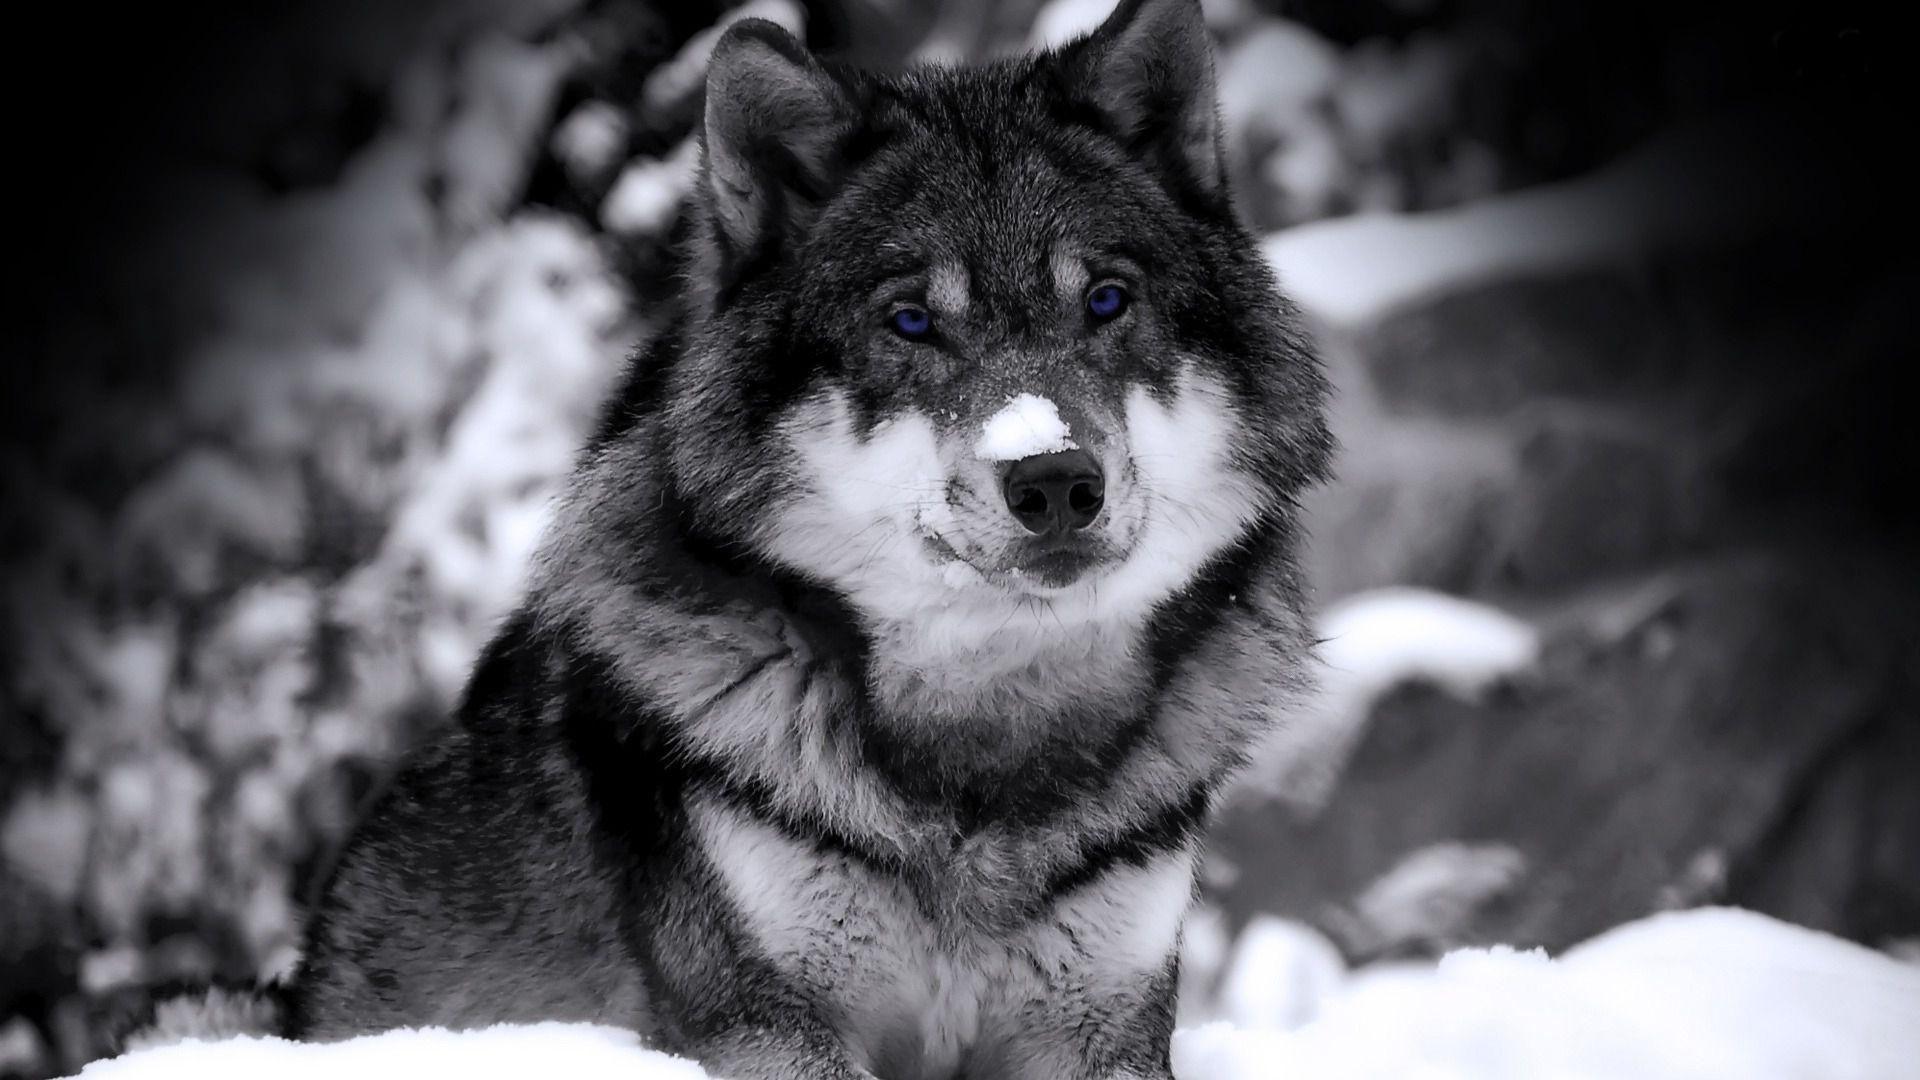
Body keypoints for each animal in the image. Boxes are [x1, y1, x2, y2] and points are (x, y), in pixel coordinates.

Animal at [161, 0, 1333, 1076]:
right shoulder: (769, 1024)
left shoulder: (1106, 1028)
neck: (980, 757)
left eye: (1107, 301)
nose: (1053, 478)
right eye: (911, 322)